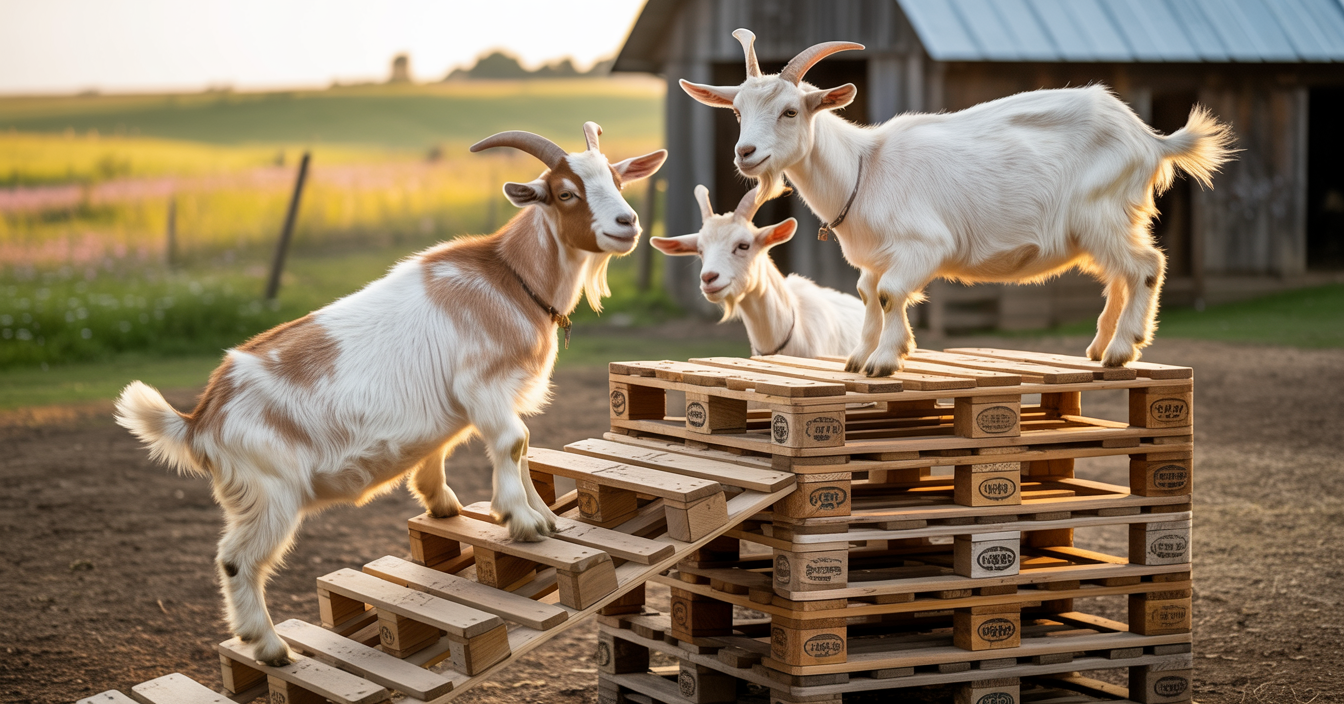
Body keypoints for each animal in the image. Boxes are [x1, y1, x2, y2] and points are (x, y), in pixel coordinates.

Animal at [114, 122, 666, 666]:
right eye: (566, 192)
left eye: (618, 179)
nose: (627, 222)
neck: (509, 278)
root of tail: (200, 419)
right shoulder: (482, 384)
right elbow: (514, 442)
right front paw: (522, 522)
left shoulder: (483, 398)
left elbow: (515, 448)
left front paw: (524, 515)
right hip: (268, 492)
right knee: (236, 561)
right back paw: (269, 647)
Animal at [681, 29, 1234, 375]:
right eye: (737, 111)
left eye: (791, 111)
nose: (746, 153)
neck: (864, 167)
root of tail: (1149, 139)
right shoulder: (874, 259)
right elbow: (868, 295)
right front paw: (860, 358)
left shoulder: (923, 246)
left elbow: (891, 294)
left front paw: (885, 361)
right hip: (1103, 226)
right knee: (1119, 275)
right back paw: (1099, 347)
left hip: (1103, 213)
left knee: (1145, 266)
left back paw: (1122, 349)